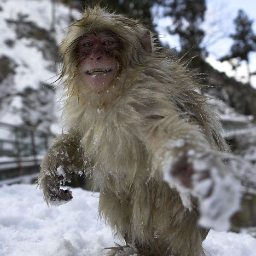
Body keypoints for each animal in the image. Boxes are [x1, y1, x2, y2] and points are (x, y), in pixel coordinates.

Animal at [38, 6, 240, 256]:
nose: (96, 56)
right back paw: (133, 246)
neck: (111, 96)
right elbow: (80, 141)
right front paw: (52, 169)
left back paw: (144, 249)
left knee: (149, 186)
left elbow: (166, 129)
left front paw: (193, 169)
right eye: (87, 44)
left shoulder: (145, 96)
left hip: (175, 223)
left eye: (107, 42)